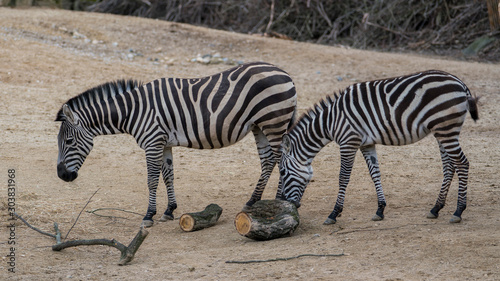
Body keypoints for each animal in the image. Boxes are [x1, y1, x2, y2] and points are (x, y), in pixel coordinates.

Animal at [55, 61, 296, 225]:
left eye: (69, 141)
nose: (62, 176)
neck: (134, 111)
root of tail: (285, 73)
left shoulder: (152, 142)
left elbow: (152, 180)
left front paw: (149, 215)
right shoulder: (164, 143)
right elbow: (168, 176)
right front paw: (169, 210)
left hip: (273, 122)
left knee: (282, 160)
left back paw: (280, 200)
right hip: (260, 126)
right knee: (268, 162)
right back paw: (253, 201)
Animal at [280, 70, 478, 225]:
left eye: (282, 172)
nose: (283, 201)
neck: (330, 121)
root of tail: (460, 83)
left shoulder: (348, 142)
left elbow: (343, 177)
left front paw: (334, 213)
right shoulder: (366, 144)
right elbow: (375, 173)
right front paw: (380, 210)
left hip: (446, 128)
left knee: (462, 163)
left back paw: (458, 211)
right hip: (442, 130)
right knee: (449, 166)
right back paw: (436, 208)